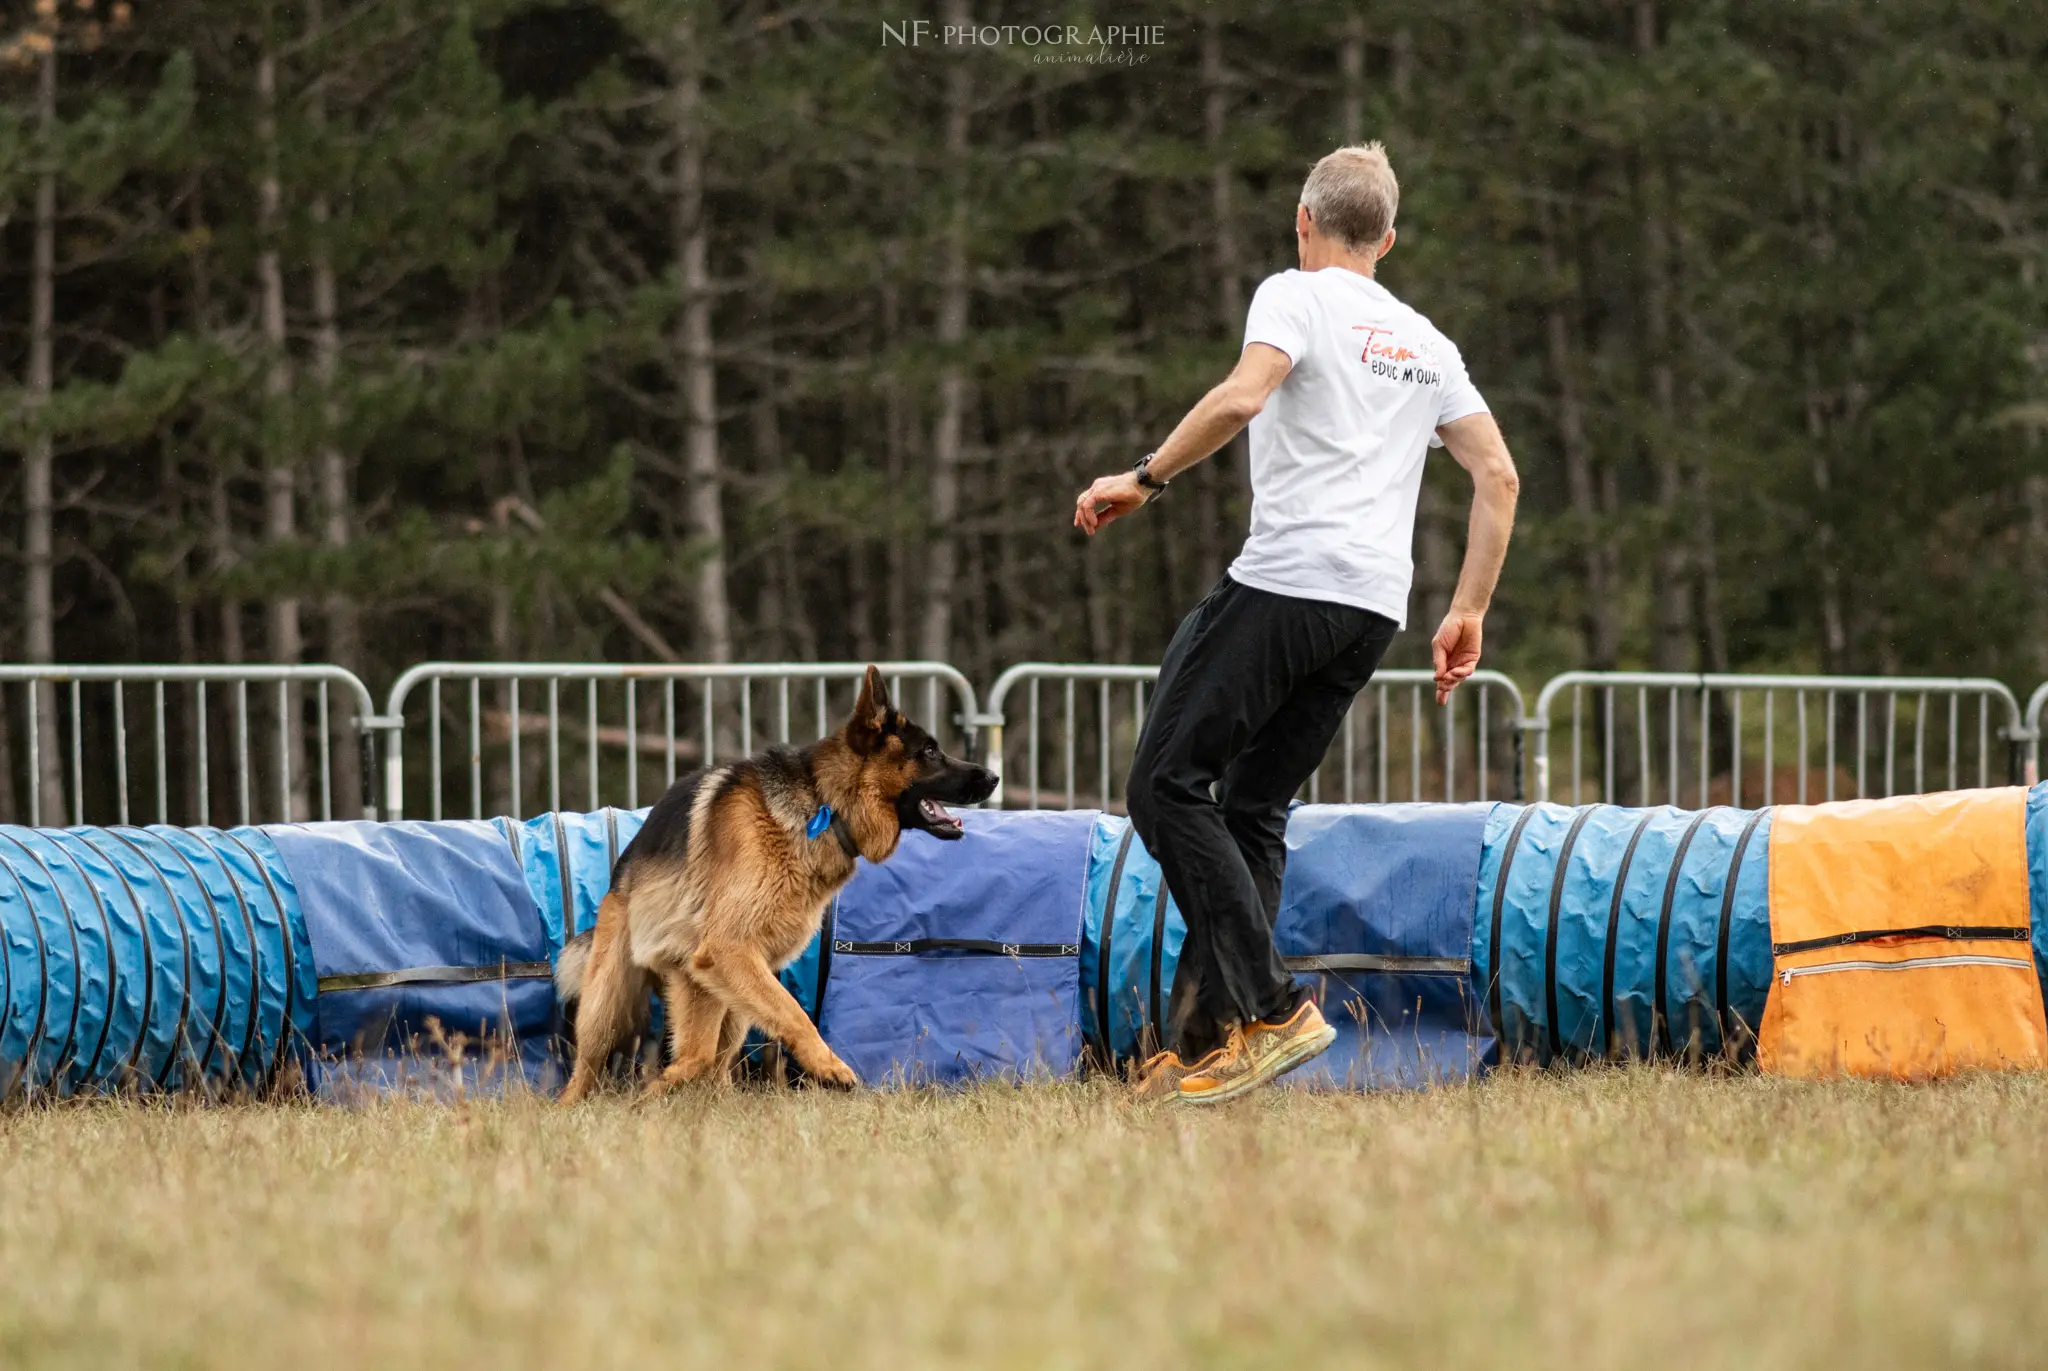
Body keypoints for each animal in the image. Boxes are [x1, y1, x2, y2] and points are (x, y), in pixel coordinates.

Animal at [552, 663, 999, 1098]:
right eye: (930, 751)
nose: (994, 778)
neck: (824, 804)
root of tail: (617, 881)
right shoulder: (730, 949)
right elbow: (794, 1013)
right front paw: (829, 1066)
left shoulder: (742, 961)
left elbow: (730, 1043)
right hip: (611, 1002)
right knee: (590, 1070)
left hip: (707, 984)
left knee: (705, 1057)